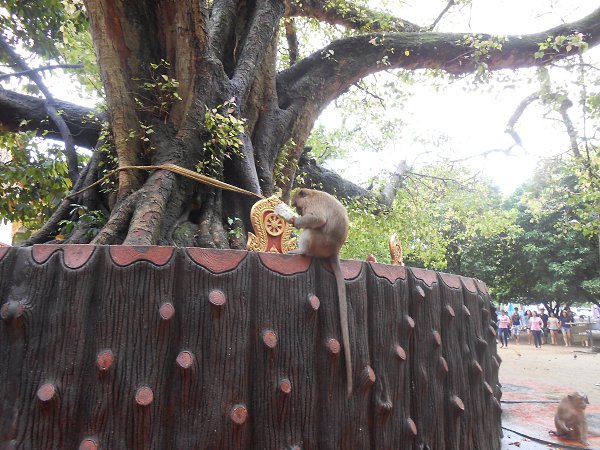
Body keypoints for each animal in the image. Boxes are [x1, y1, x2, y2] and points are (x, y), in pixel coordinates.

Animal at [287, 188, 352, 397]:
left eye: (297, 205)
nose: (298, 212)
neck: (312, 194)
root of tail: (334, 251)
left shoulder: (312, 206)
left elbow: (318, 219)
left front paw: (295, 221)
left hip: (318, 243)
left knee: (311, 230)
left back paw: (302, 251)